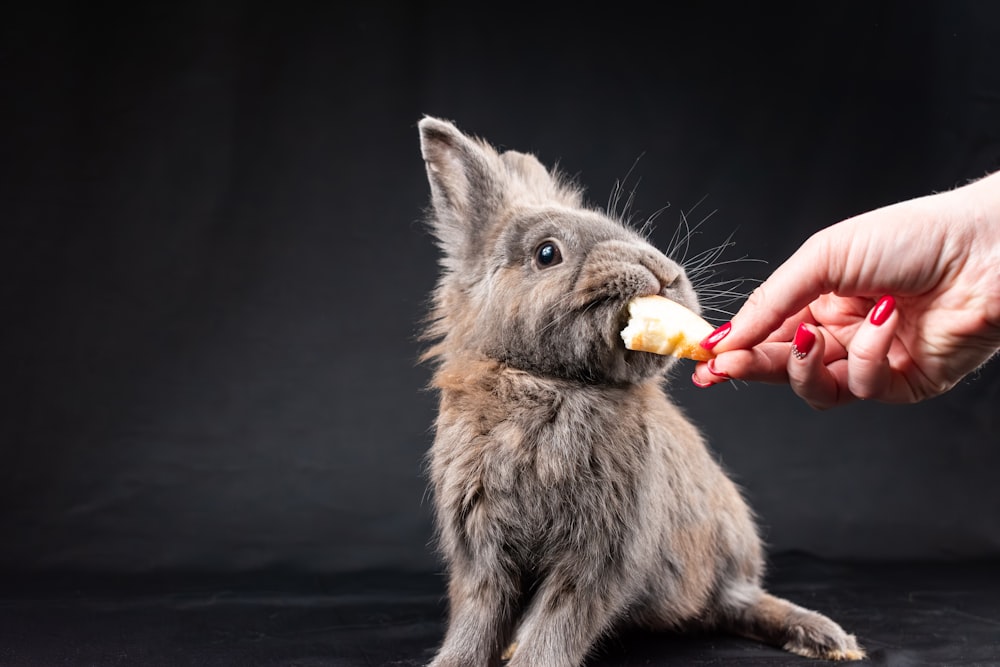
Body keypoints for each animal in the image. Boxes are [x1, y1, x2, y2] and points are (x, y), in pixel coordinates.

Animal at [414, 117, 860, 664]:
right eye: (547, 253)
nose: (664, 273)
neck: (553, 383)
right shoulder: (480, 548)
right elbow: (478, 616)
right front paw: (455, 661)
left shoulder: (601, 551)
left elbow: (557, 622)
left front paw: (532, 658)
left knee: (742, 602)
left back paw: (828, 639)